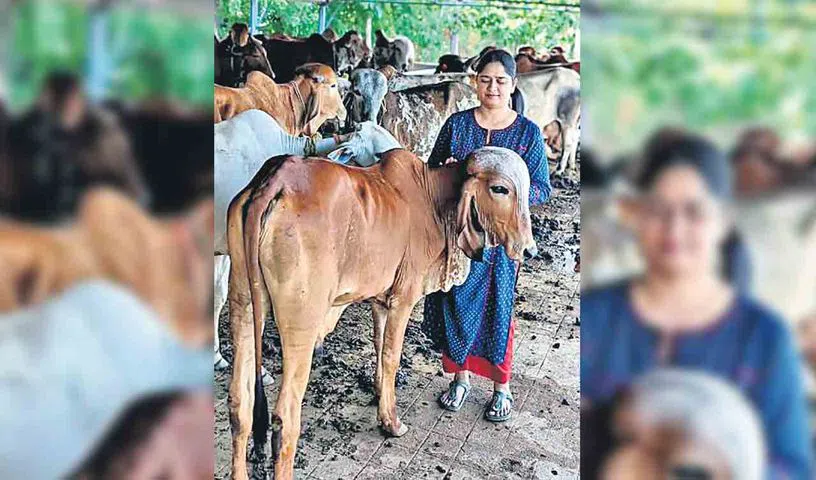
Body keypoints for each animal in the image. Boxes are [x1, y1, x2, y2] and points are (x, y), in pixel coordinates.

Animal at [226, 147, 540, 480]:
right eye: (500, 189)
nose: (529, 249)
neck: (433, 199)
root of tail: (277, 179)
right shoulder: (404, 298)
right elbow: (391, 355)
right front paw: (391, 421)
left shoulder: (381, 299)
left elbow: (378, 345)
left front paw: (379, 393)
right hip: (301, 323)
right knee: (285, 418)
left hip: (243, 304)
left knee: (239, 404)